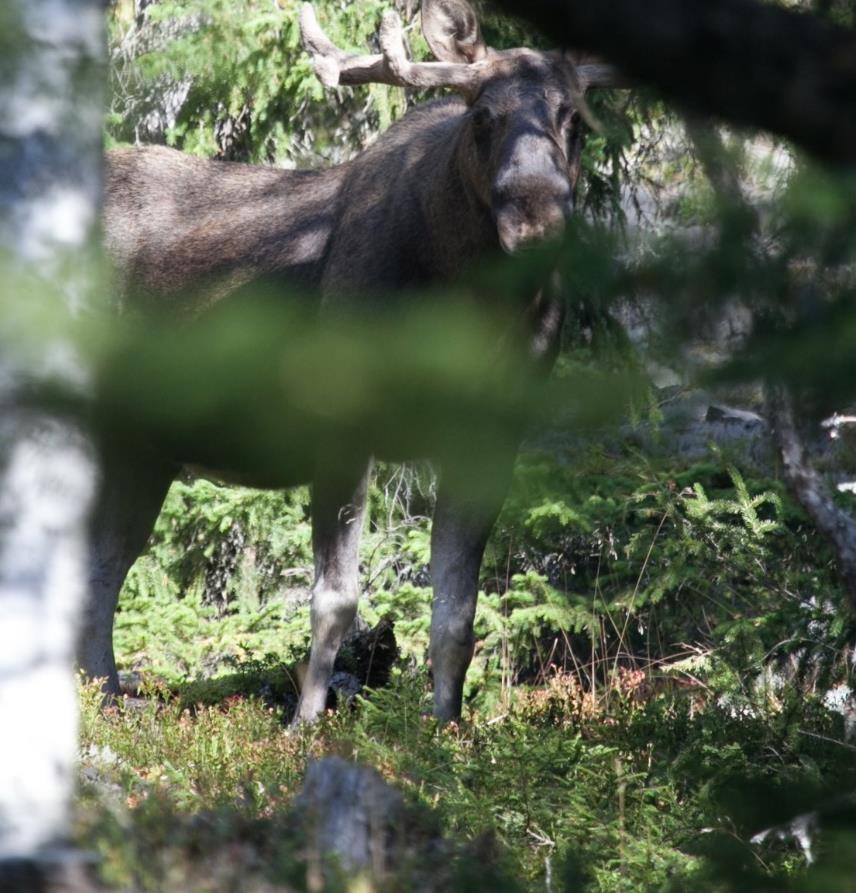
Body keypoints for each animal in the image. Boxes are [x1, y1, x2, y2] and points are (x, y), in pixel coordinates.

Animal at [87, 0, 620, 720]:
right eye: (483, 115)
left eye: (575, 119)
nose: (536, 221)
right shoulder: (341, 421)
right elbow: (335, 599)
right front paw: (304, 723)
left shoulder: (488, 435)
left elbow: (456, 613)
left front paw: (445, 727)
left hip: (141, 449)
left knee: (102, 569)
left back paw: (106, 698)